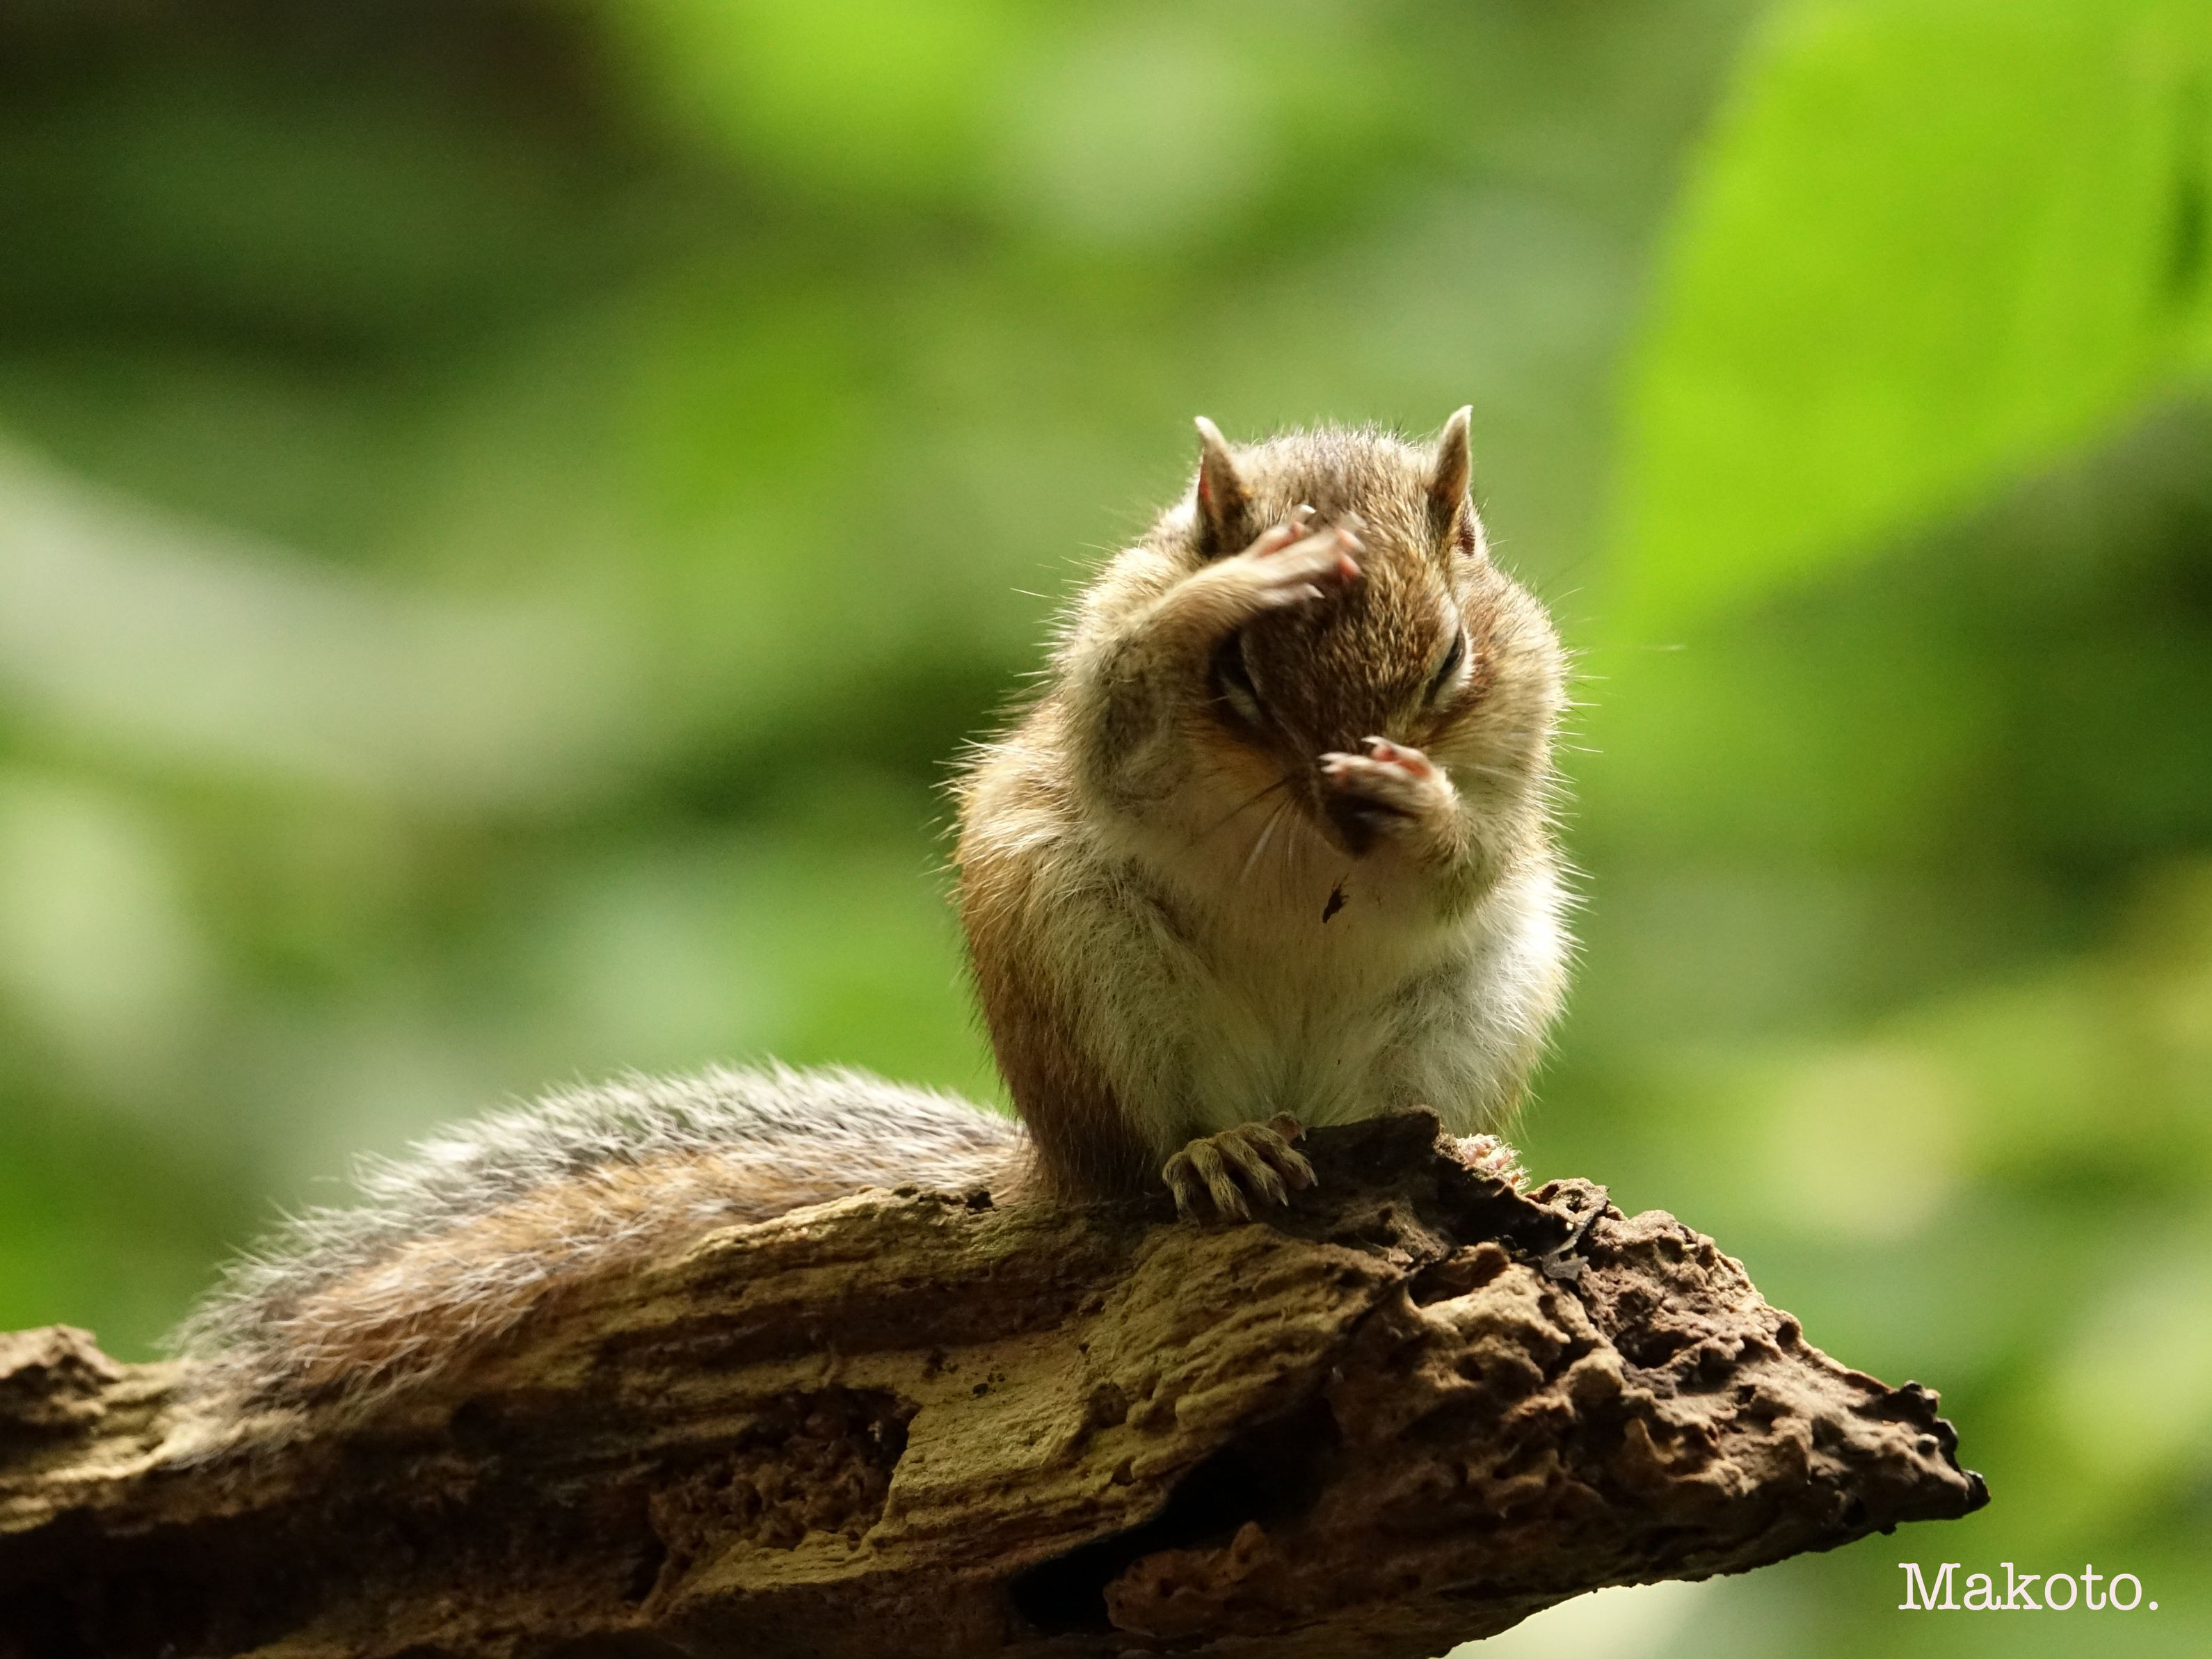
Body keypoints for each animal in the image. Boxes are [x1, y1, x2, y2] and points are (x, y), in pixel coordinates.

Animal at [169, 411, 1569, 1422]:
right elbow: (1125, 702)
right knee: (1143, 1160)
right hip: (1074, 949)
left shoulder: (1524, 761)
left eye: (1452, 661)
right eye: (1241, 680)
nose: (1344, 811)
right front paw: (1229, 591)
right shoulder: (1105, 674)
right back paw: (1212, 1153)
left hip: (1490, 985)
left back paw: (1472, 1152)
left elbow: (1473, 854)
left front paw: (1417, 801)